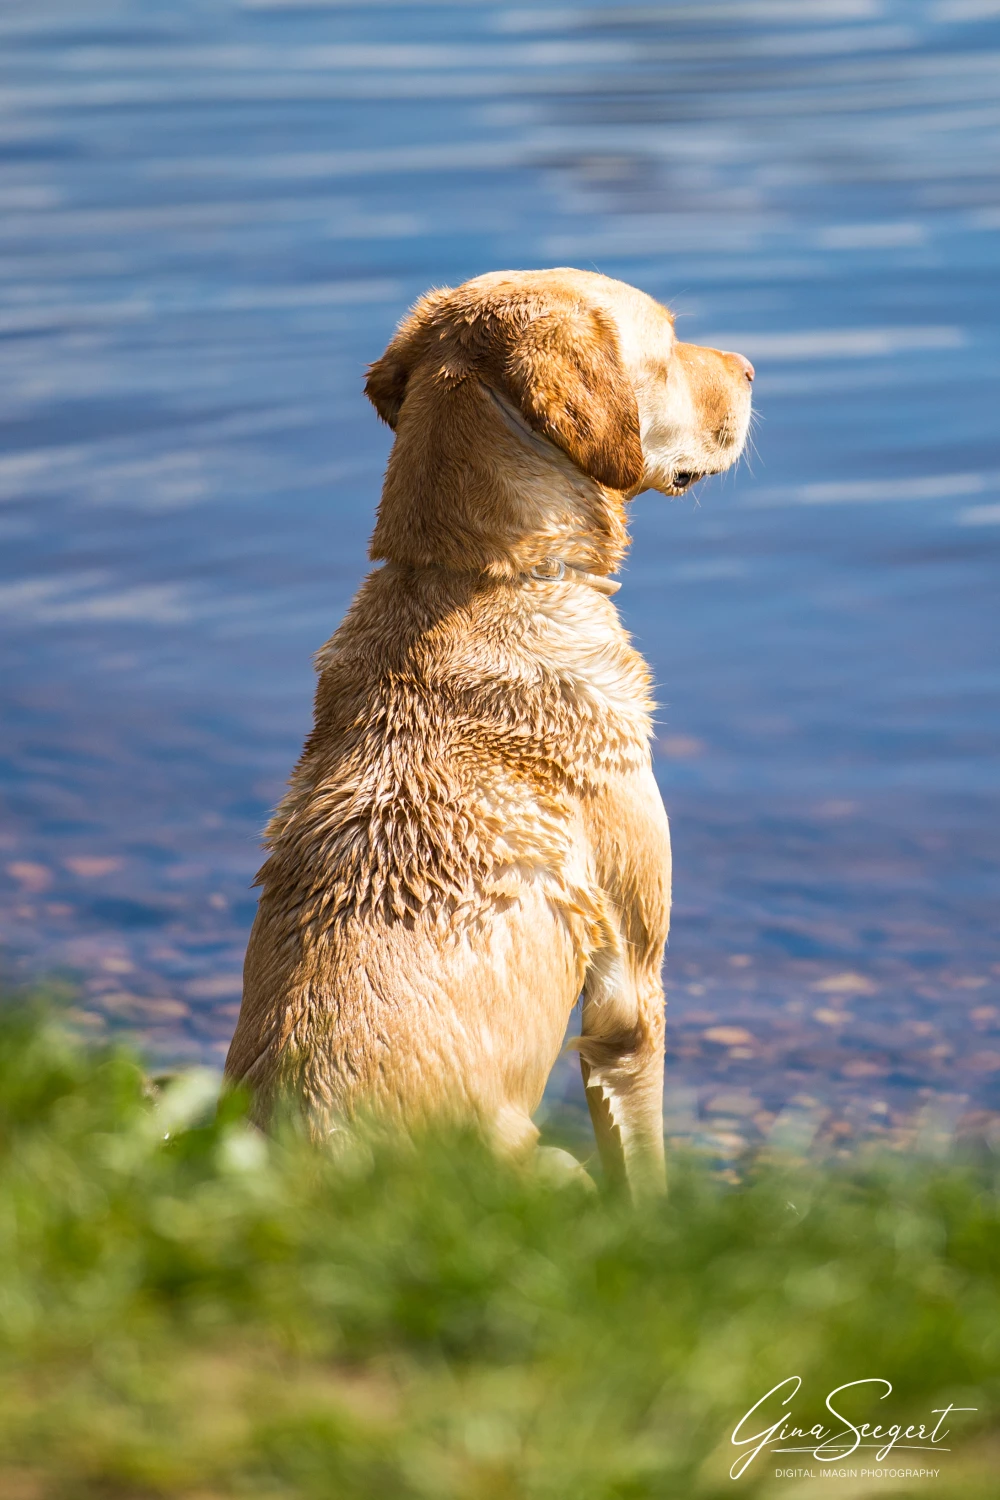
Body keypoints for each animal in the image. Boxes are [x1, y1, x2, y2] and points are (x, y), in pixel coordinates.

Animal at [224, 264, 749, 1188]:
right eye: (667, 340)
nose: (754, 369)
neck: (474, 576)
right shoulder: (629, 990)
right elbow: (641, 1168)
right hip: (553, 1163)